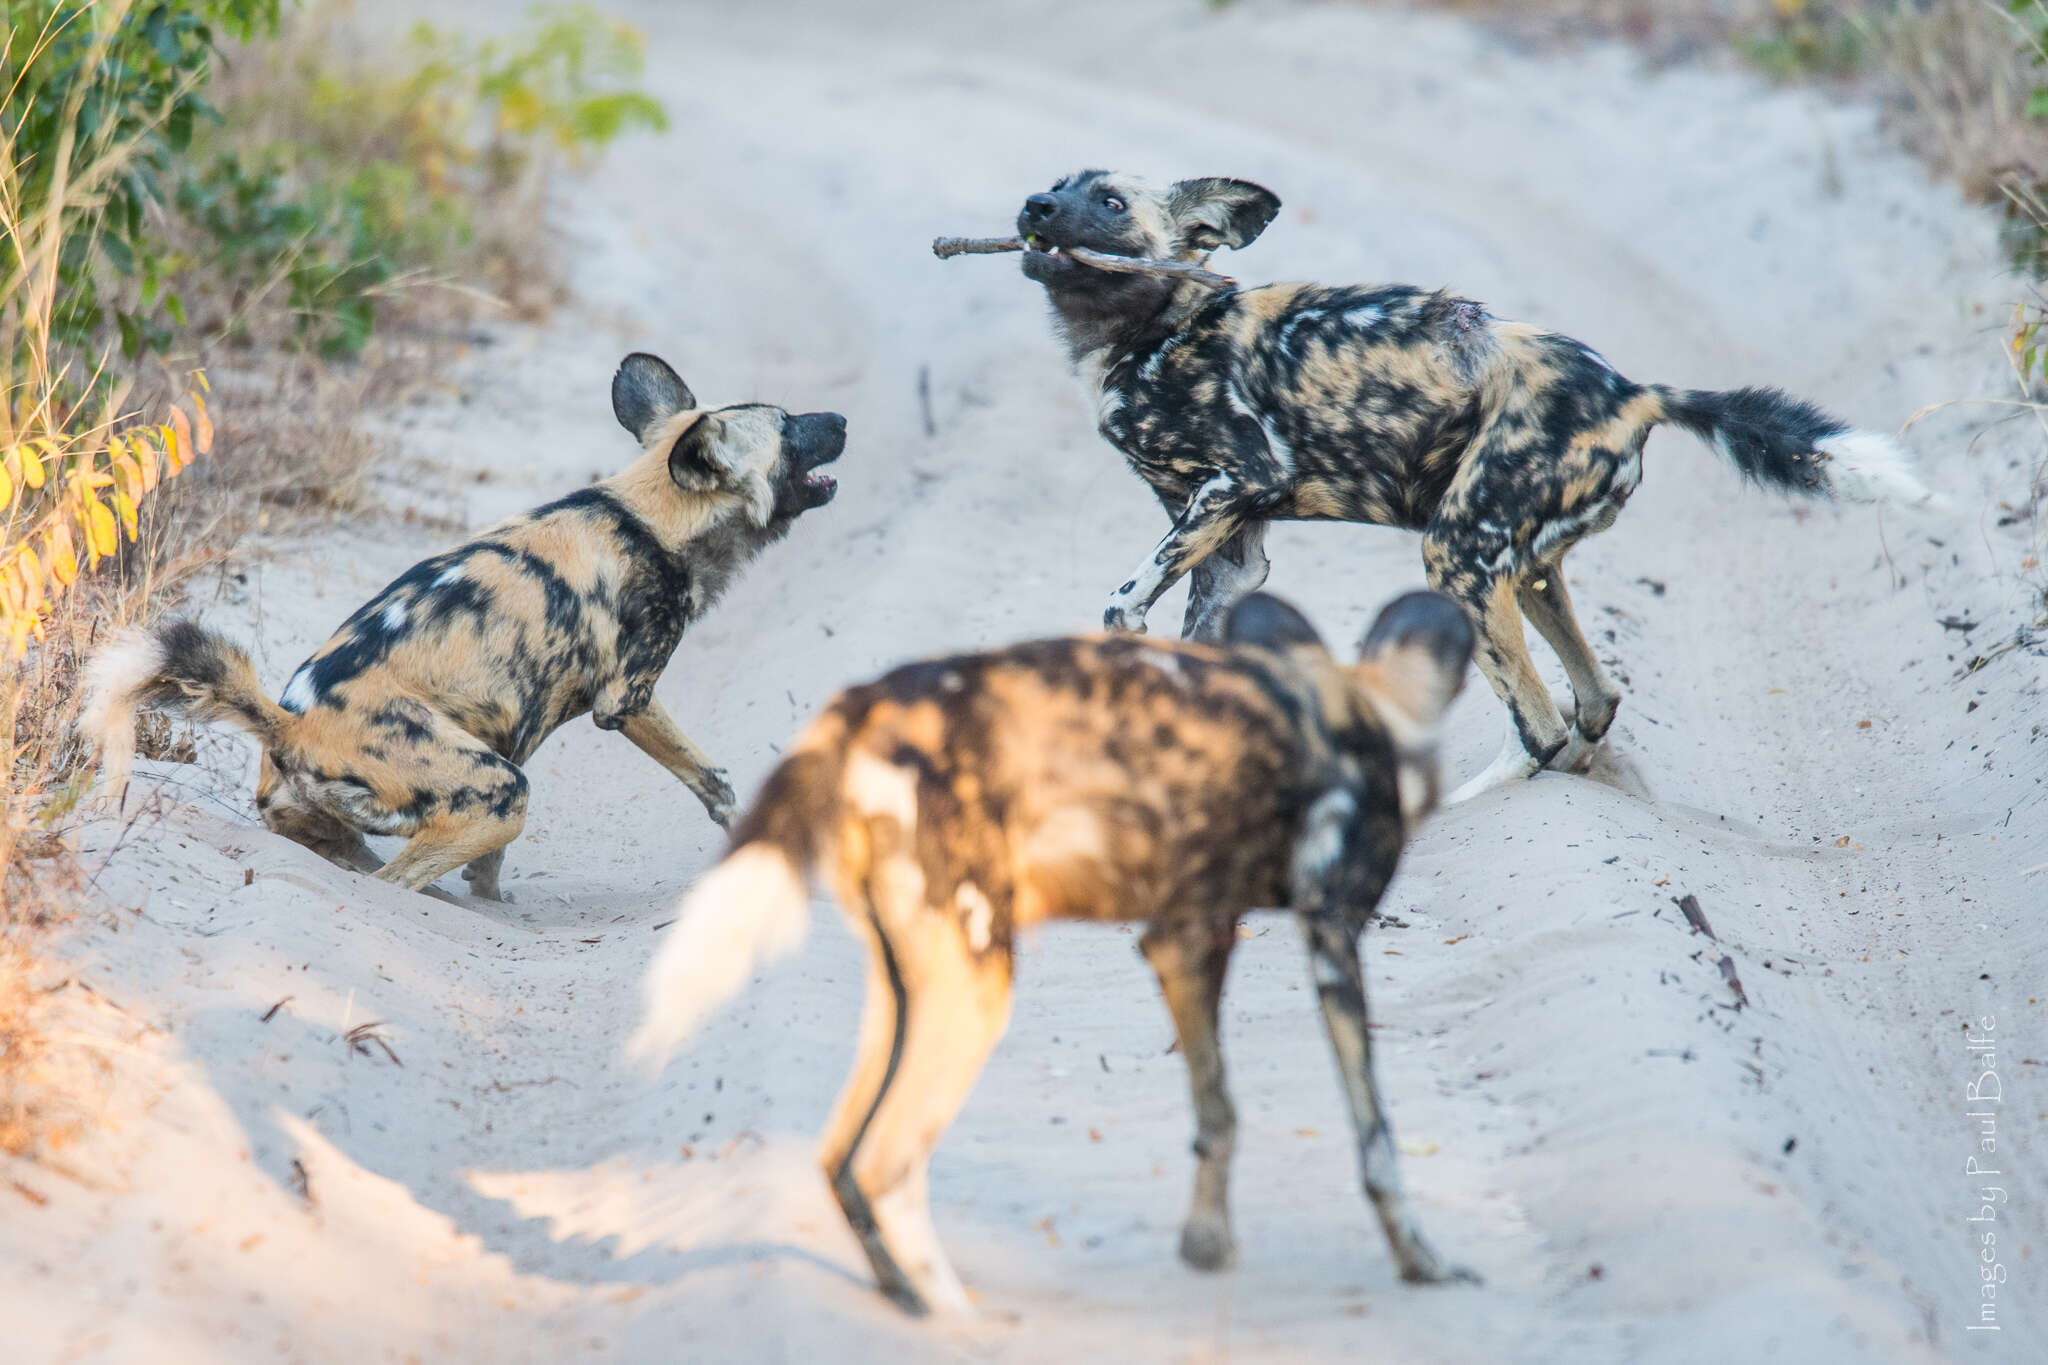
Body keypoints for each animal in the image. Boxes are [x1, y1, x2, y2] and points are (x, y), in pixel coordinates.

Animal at [81, 351, 847, 896]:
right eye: (787, 426)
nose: (841, 420)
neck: (649, 514)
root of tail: (287, 722)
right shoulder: (627, 700)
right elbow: (709, 776)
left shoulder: (525, 729)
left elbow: (492, 867)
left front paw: (490, 897)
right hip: (499, 790)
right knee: (397, 881)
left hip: (391, 805)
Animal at [630, 593, 1482, 1317]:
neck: (1353, 705)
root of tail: (865, 704)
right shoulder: (1330, 935)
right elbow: (1376, 1137)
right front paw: (1422, 1260)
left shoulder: (1187, 938)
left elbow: (1218, 1110)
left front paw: (1207, 1244)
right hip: (975, 990)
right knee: (886, 1165)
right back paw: (958, 1321)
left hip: (910, 990)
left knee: (840, 1159)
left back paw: (902, 1296)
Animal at [1007, 167, 1933, 802]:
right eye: (1060, 184)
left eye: (1110, 203)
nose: (1034, 208)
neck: (1152, 327)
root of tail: (1634, 392)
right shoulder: (1233, 552)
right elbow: (1195, 652)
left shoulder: (1237, 480)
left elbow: (1122, 606)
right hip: (1522, 566)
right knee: (1594, 698)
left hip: (1453, 556)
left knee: (1542, 723)